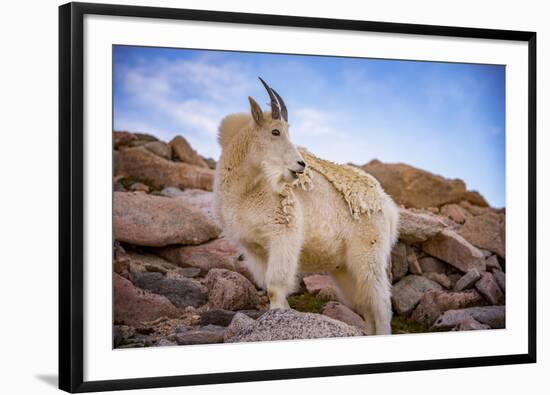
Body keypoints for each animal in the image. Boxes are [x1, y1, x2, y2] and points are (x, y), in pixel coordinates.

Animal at [213, 79, 398, 336]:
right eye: (275, 131)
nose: (301, 165)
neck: (246, 189)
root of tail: (388, 207)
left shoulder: (283, 235)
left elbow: (275, 287)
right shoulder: (254, 248)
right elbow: (269, 287)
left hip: (369, 256)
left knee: (381, 304)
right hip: (344, 268)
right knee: (366, 305)